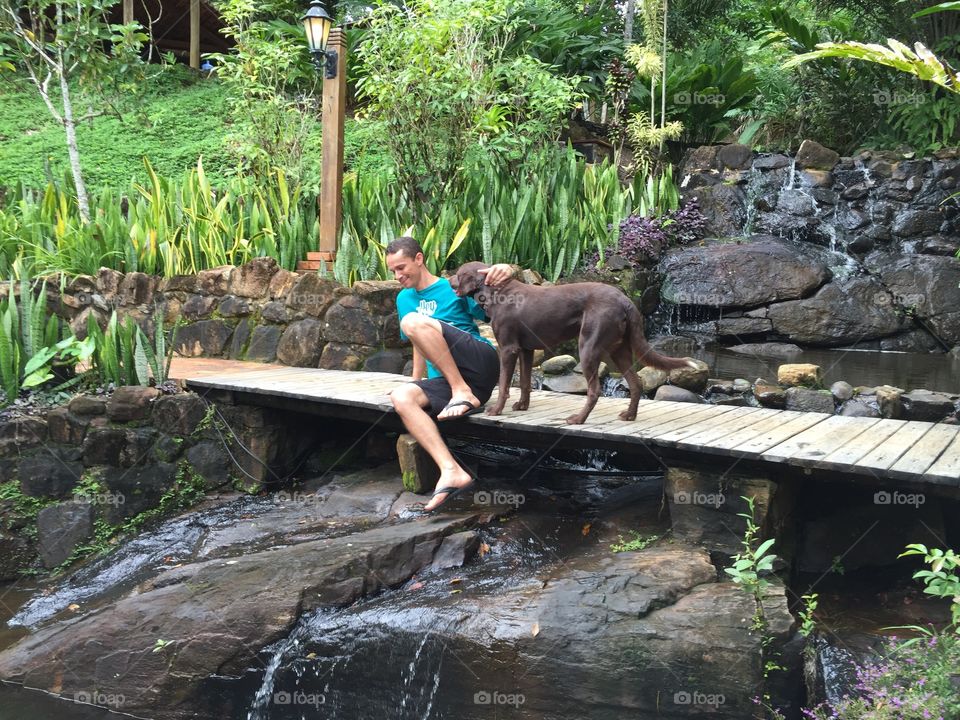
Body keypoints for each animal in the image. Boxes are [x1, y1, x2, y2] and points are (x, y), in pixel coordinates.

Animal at [450, 262, 696, 424]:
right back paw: (629, 415)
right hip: (620, 349)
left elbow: (503, 384)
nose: (448, 279)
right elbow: (526, 382)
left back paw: (578, 419)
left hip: (588, 347)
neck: (496, 290)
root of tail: (625, 300)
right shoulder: (526, 349)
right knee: (636, 384)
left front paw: (496, 410)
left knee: (595, 390)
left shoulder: (508, 348)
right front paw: (522, 406)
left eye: (458, 273)